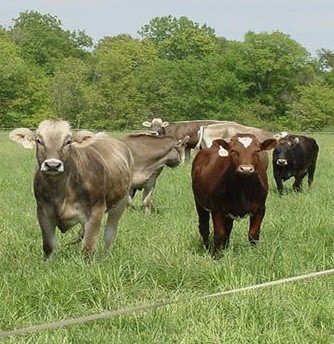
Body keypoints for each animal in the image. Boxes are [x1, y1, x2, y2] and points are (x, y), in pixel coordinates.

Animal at [8, 120, 133, 258]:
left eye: (68, 141)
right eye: (38, 140)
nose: (52, 165)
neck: (60, 193)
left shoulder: (96, 211)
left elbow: (88, 248)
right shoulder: (43, 212)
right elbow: (48, 246)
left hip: (120, 201)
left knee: (109, 234)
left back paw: (105, 256)